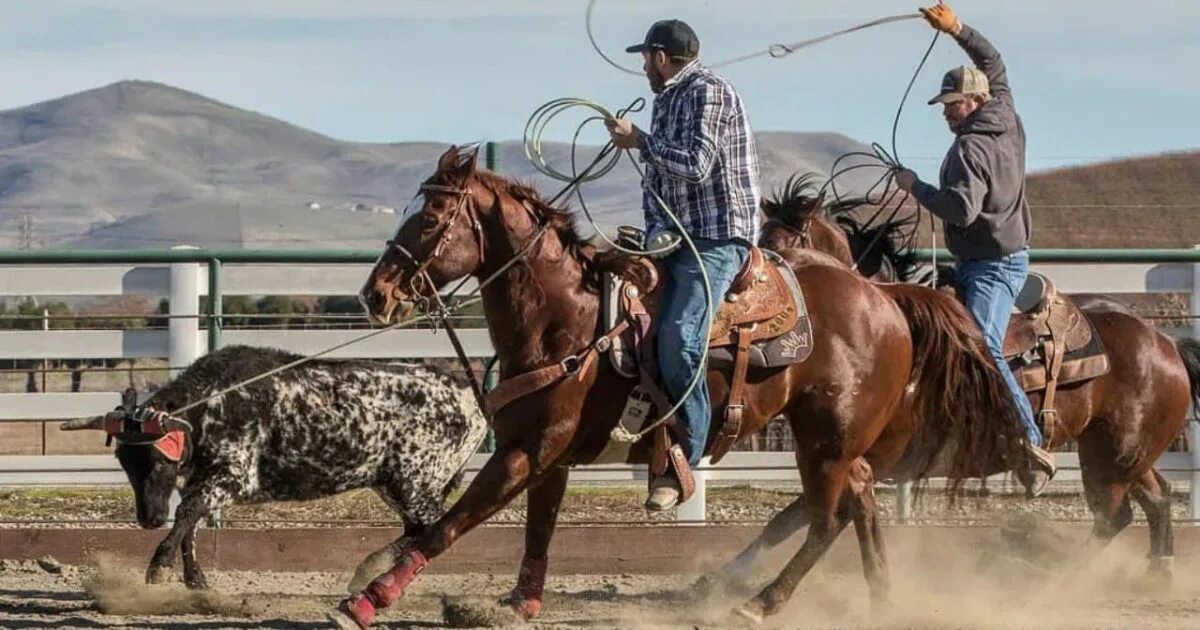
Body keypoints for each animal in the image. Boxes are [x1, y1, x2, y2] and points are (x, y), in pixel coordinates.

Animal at [340, 145, 1032, 624]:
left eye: (432, 216)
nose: (376, 293)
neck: (566, 318)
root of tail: (885, 297)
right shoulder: (549, 455)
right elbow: (537, 527)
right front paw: (519, 602)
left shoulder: (528, 450)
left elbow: (449, 523)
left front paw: (369, 599)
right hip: (835, 442)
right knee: (856, 500)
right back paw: (881, 595)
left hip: (825, 441)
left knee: (827, 516)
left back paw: (762, 602)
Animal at [758, 176, 1200, 580]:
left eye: (783, 245)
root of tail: (1164, 341)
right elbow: (782, 523)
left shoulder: (867, 456)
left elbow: (798, 518)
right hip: (1122, 451)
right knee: (1154, 499)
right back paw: (1157, 570)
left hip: (1113, 457)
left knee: (1113, 515)